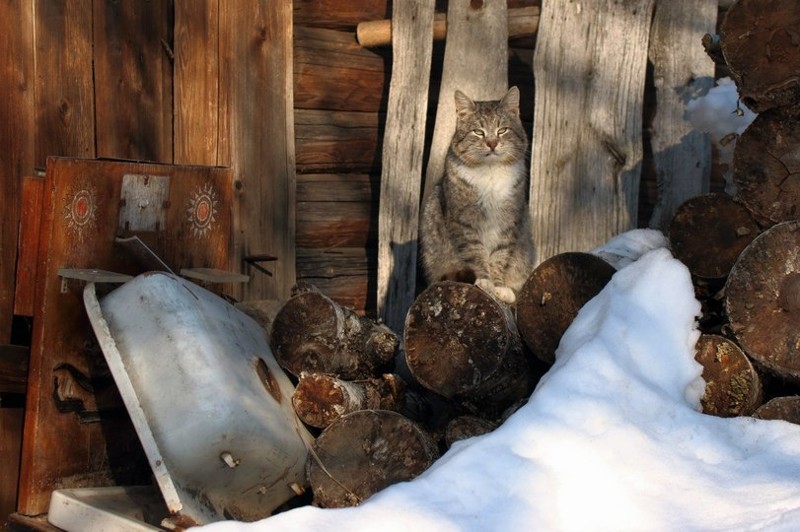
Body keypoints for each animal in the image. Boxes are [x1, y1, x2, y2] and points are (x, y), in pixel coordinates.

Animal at [418, 85, 532, 306]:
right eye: (478, 132)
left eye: (502, 130)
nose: (492, 143)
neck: (490, 171)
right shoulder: (463, 221)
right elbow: (474, 251)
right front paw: (485, 280)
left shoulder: (509, 221)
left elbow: (500, 255)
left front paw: (498, 286)